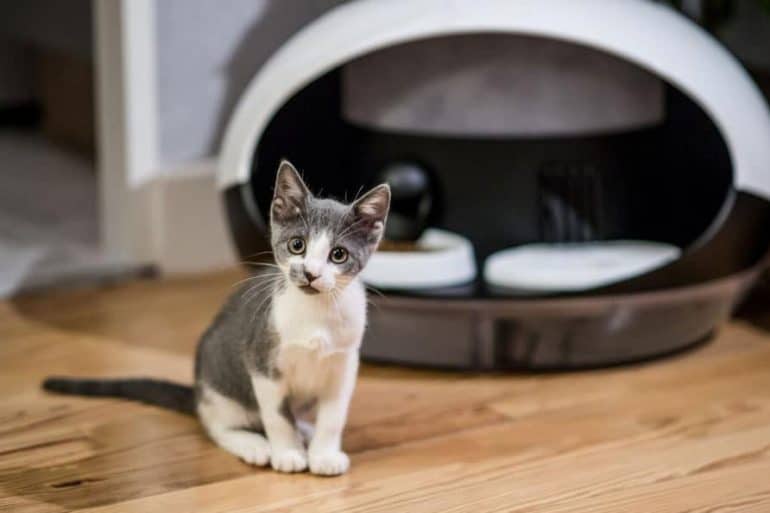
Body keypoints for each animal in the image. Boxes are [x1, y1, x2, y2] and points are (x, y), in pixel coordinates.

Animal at [43, 161, 390, 476]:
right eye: (297, 245)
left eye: (338, 255)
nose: (310, 274)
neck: (316, 313)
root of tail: (198, 392)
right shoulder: (262, 361)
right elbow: (277, 416)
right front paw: (288, 453)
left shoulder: (344, 364)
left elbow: (333, 416)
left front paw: (324, 455)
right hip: (218, 384)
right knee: (217, 425)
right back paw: (255, 444)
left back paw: (304, 430)